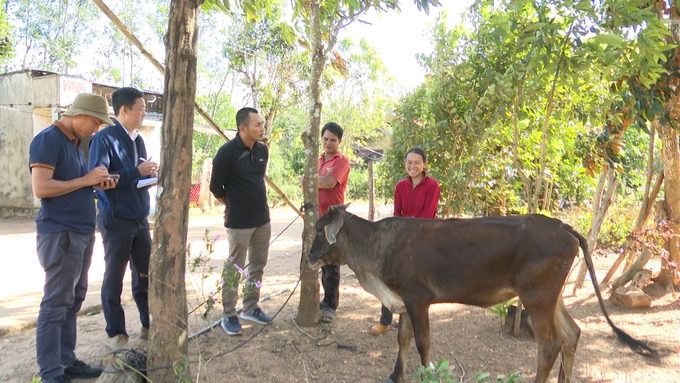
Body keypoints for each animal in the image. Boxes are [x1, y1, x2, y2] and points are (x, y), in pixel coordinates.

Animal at [308, 206, 652, 383]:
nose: (310, 258)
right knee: (572, 334)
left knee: (550, 345)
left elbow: (422, 342)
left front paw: (428, 373)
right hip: (552, 297)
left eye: (319, 229)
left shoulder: (418, 299)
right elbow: (402, 337)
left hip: (537, 298)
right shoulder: (404, 300)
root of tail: (563, 226)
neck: (377, 249)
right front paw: (396, 374)